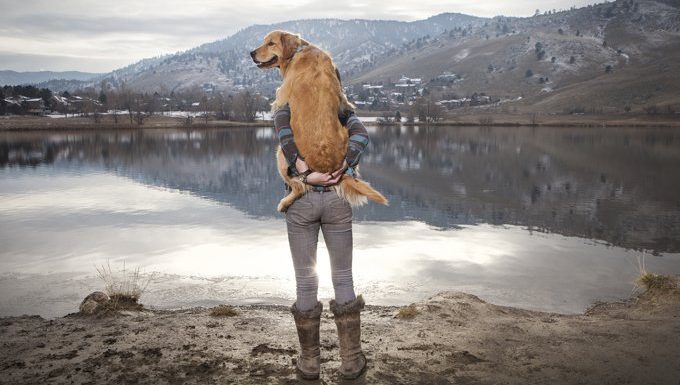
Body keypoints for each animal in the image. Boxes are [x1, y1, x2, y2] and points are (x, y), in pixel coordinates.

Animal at [250, 30, 388, 212]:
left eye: (271, 43)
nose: (251, 53)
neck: (298, 52)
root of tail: (330, 168)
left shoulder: (282, 95)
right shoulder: (341, 94)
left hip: (280, 152)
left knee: (300, 186)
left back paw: (284, 203)